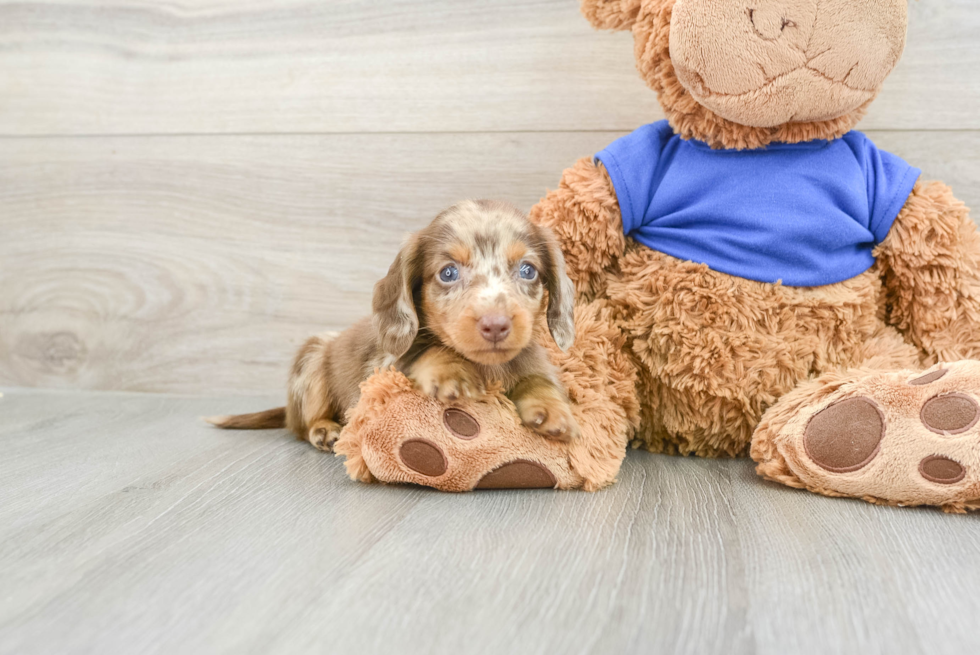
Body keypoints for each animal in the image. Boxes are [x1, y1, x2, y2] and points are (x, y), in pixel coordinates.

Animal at [207, 200, 576, 452]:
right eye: (448, 272)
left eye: (527, 270)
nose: (496, 325)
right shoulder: (385, 369)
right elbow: (428, 349)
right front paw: (451, 371)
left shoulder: (532, 362)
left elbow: (539, 380)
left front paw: (553, 409)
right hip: (311, 361)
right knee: (300, 426)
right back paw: (323, 429)